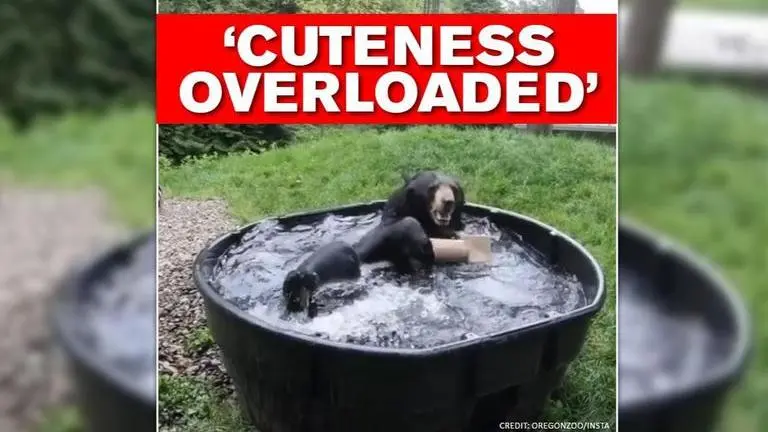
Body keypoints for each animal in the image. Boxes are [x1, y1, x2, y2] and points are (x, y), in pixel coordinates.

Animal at [282, 170, 466, 314]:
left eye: (454, 189)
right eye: (432, 188)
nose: (448, 202)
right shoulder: (385, 234)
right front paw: (421, 241)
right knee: (343, 253)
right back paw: (298, 285)